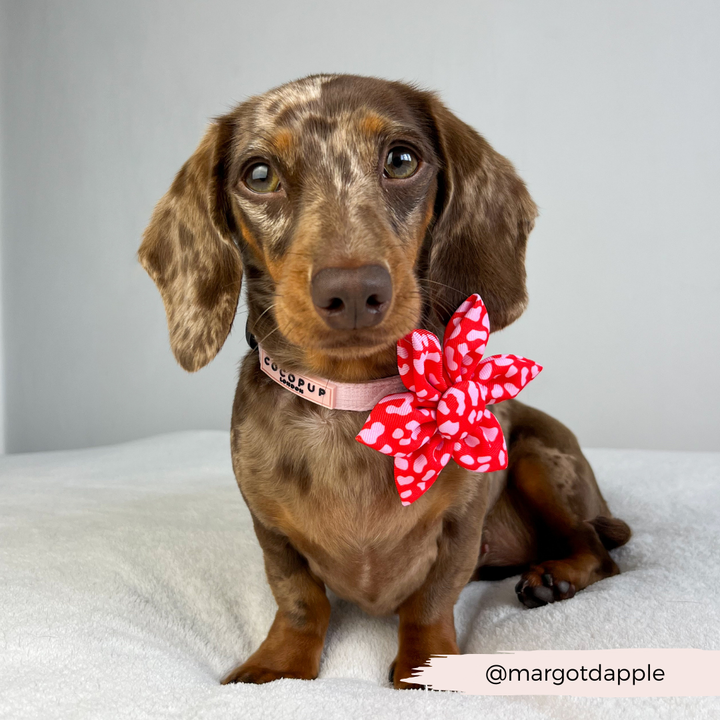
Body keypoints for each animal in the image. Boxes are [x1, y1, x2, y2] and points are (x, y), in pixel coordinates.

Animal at [136, 74, 632, 692]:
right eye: (259, 174)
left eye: (401, 159)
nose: (352, 291)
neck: (352, 400)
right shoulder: (269, 529)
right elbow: (298, 597)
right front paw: (278, 664)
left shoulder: (462, 519)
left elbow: (431, 599)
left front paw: (427, 666)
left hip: (539, 460)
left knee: (598, 549)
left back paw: (554, 577)